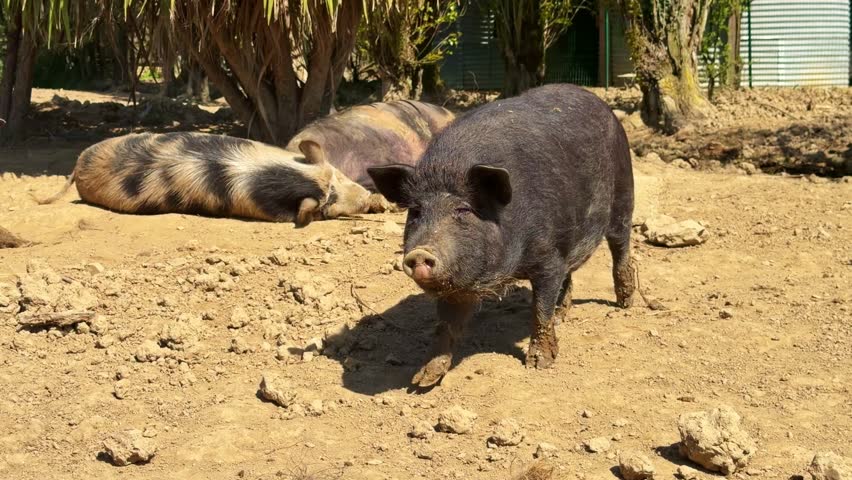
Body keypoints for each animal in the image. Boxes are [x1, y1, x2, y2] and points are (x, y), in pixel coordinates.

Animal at [368, 84, 638, 387]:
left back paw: (625, 303)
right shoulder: (457, 283)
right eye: (415, 211)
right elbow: (446, 324)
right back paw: (563, 316)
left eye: (463, 209)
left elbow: (540, 310)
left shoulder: (547, 259)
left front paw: (539, 365)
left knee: (620, 247)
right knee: (570, 275)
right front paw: (422, 381)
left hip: (624, 193)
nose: (420, 253)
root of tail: (599, 102)